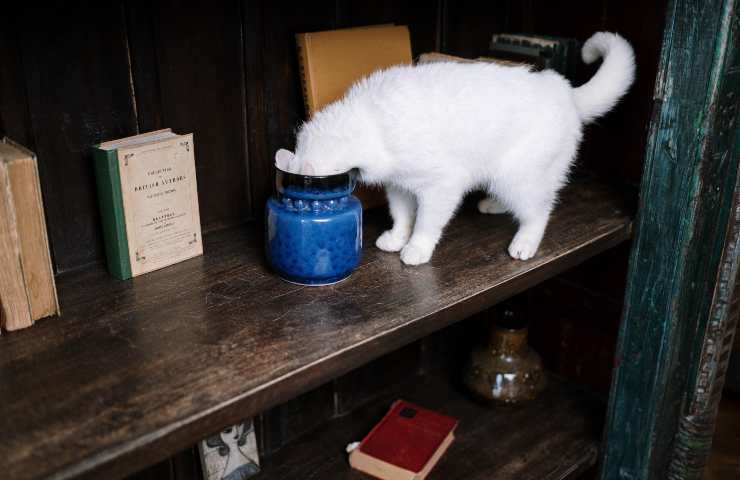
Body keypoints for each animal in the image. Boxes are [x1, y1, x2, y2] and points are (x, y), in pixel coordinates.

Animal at [274, 31, 632, 266]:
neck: (369, 120)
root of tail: (565, 90)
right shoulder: (399, 186)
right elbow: (402, 215)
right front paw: (397, 237)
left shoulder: (442, 186)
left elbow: (426, 223)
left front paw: (416, 249)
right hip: (507, 177)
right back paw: (493, 205)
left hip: (517, 176)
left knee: (540, 210)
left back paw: (524, 243)